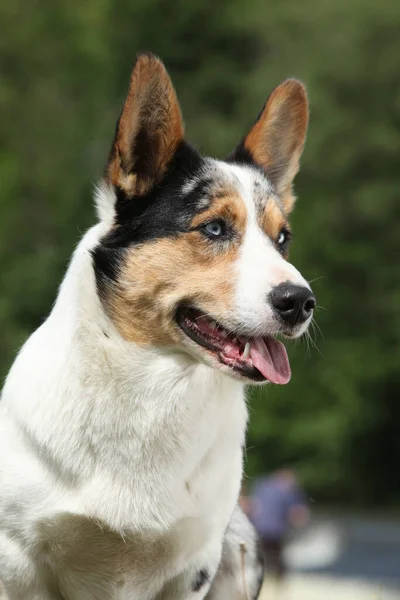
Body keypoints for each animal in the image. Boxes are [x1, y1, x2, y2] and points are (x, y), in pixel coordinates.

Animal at [0, 52, 312, 600]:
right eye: (214, 228)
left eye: (282, 240)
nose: (302, 302)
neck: (155, 379)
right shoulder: (17, 560)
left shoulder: (193, 566)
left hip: (243, 541)